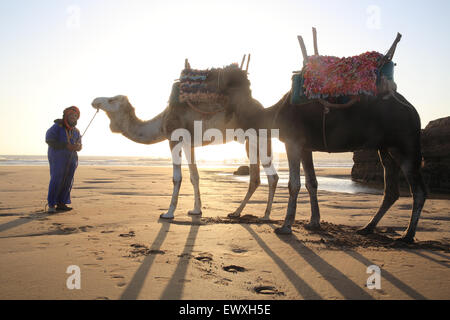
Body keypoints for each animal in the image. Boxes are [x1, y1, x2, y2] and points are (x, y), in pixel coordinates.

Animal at [92, 64, 280, 221]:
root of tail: (264, 111)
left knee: (271, 176)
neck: (162, 121)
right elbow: (194, 176)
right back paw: (237, 212)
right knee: (257, 178)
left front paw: (168, 213)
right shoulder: (189, 144)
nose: (95, 101)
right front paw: (196, 210)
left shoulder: (174, 138)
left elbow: (177, 177)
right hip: (252, 142)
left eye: (111, 100)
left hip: (258, 138)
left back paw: (265, 216)